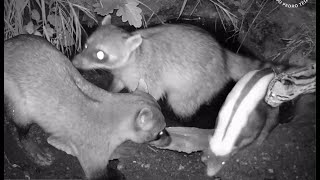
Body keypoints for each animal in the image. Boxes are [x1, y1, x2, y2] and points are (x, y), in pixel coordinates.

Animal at [73, 15, 290, 119]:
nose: (74, 63)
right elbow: (117, 83)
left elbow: (151, 94)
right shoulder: (121, 73)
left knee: (182, 104)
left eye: (101, 54)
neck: (135, 52)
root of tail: (223, 54)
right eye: (85, 45)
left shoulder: (150, 74)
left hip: (202, 82)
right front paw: (111, 91)